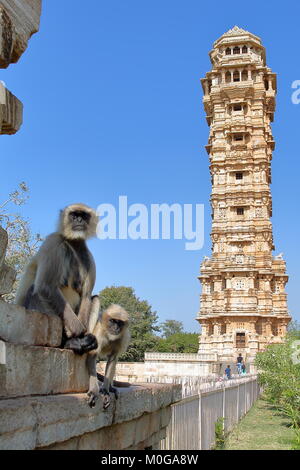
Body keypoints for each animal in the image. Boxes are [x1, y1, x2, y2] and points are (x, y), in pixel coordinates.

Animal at [14, 202, 98, 352]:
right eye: (74, 215)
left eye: (84, 216)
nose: (79, 220)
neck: (73, 243)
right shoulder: (53, 241)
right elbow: (46, 287)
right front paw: (79, 332)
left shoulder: (88, 256)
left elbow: (86, 296)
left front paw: (84, 337)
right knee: (35, 290)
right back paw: (69, 342)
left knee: (96, 298)